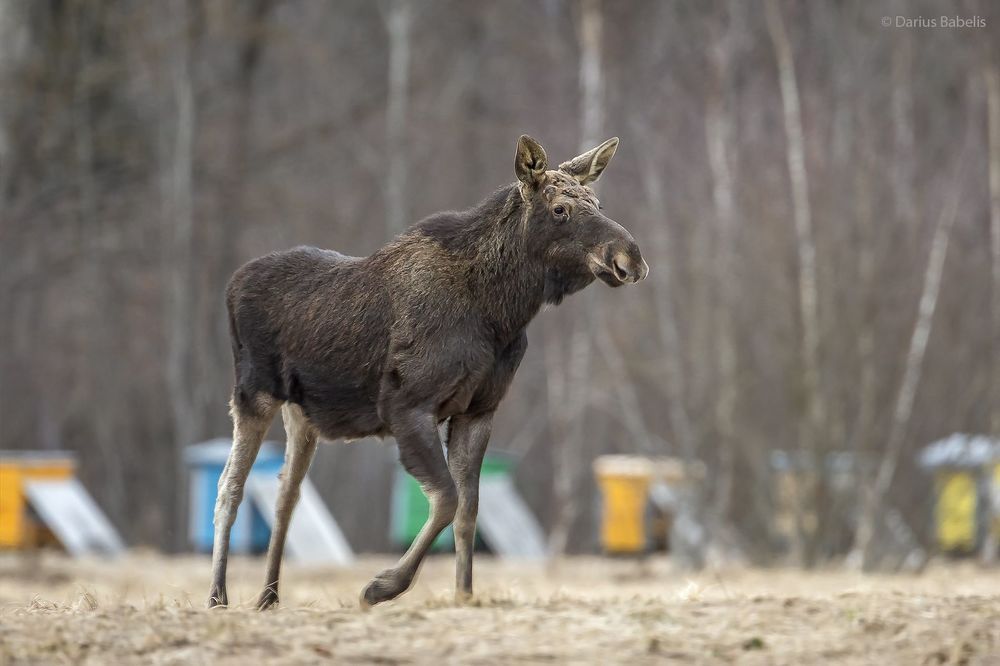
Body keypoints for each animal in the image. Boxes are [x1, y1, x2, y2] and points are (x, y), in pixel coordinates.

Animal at [207, 134, 648, 610]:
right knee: (229, 489)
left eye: (598, 202)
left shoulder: (478, 410)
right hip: (252, 393)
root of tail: (232, 283)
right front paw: (381, 586)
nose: (631, 257)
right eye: (560, 209)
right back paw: (218, 595)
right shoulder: (408, 405)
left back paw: (268, 596)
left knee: (286, 493)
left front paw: (464, 594)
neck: (502, 312)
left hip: (302, 413)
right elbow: (447, 499)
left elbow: (469, 510)